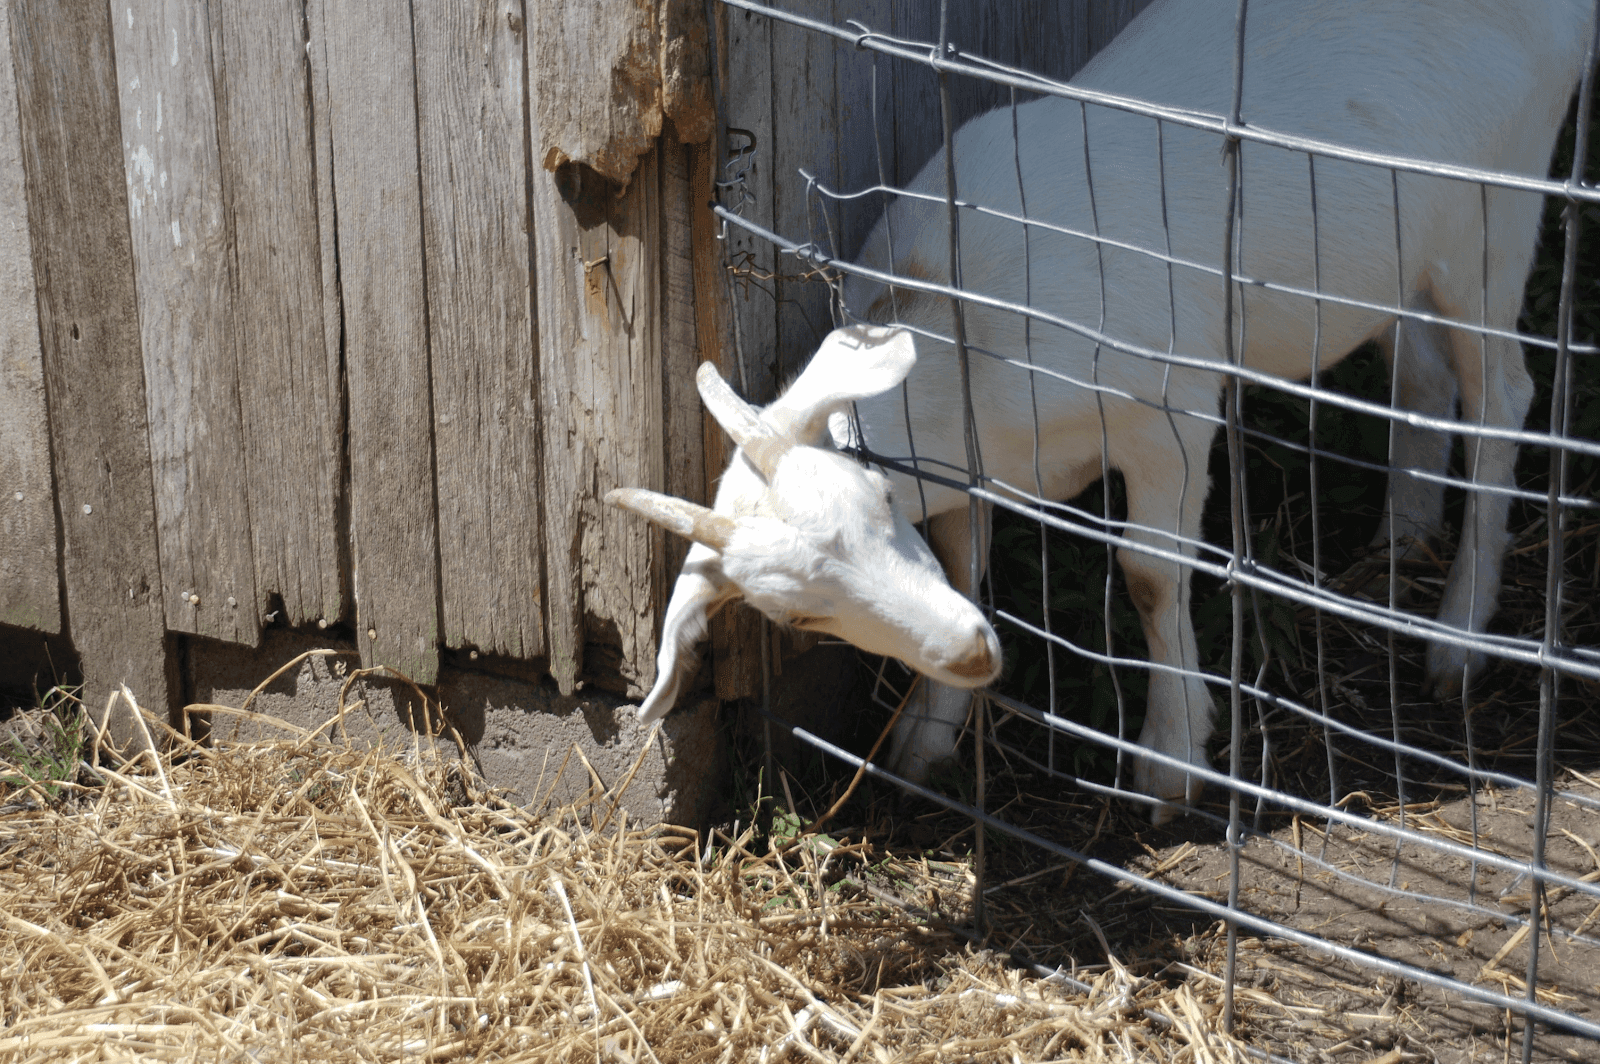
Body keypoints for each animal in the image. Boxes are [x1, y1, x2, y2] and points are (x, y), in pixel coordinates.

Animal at [609, 0, 1593, 820]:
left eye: (881, 504)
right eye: (799, 619)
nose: (968, 654)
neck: (961, 330)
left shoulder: (1170, 413)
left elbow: (1151, 574)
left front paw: (1171, 761)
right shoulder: (974, 469)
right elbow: (966, 564)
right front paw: (929, 733)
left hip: (1495, 214)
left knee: (1503, 393)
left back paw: (1458, 636)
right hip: (1397, 250)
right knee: (1424, 376)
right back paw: (1400, 546)